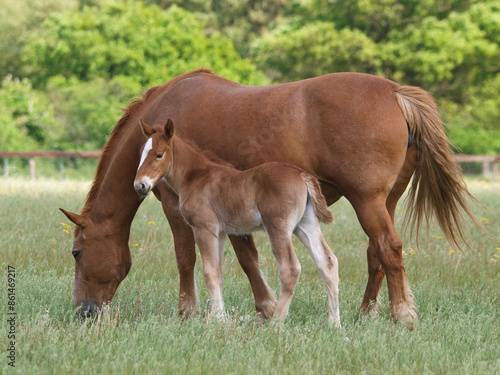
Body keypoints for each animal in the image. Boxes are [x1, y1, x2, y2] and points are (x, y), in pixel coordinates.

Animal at [134, 119, 340, 328]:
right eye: (141, 153)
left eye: (159, 154)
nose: (139, 185)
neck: (196, 176)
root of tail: (301, 174)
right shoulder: (220, 233)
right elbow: (218, 274)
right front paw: (220, 317)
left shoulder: (203, 228)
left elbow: (210, 273)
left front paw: (216, 320)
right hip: (306, 225)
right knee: (327, 263)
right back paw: (334, 324)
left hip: (278, 227)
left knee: (290, 269)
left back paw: (275, 324)